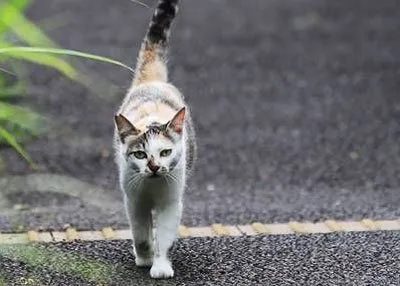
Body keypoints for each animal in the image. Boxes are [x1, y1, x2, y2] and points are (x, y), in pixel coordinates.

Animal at [112, 0, 195, 278]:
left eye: (165, 152)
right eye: (140, 154)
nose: (155, 167)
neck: (152, 187)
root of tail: (153, 81)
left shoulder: (171, 203)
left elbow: (165, 237)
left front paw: (160, 266)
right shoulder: (134, 201)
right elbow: (141, 235)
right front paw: (144, 257)